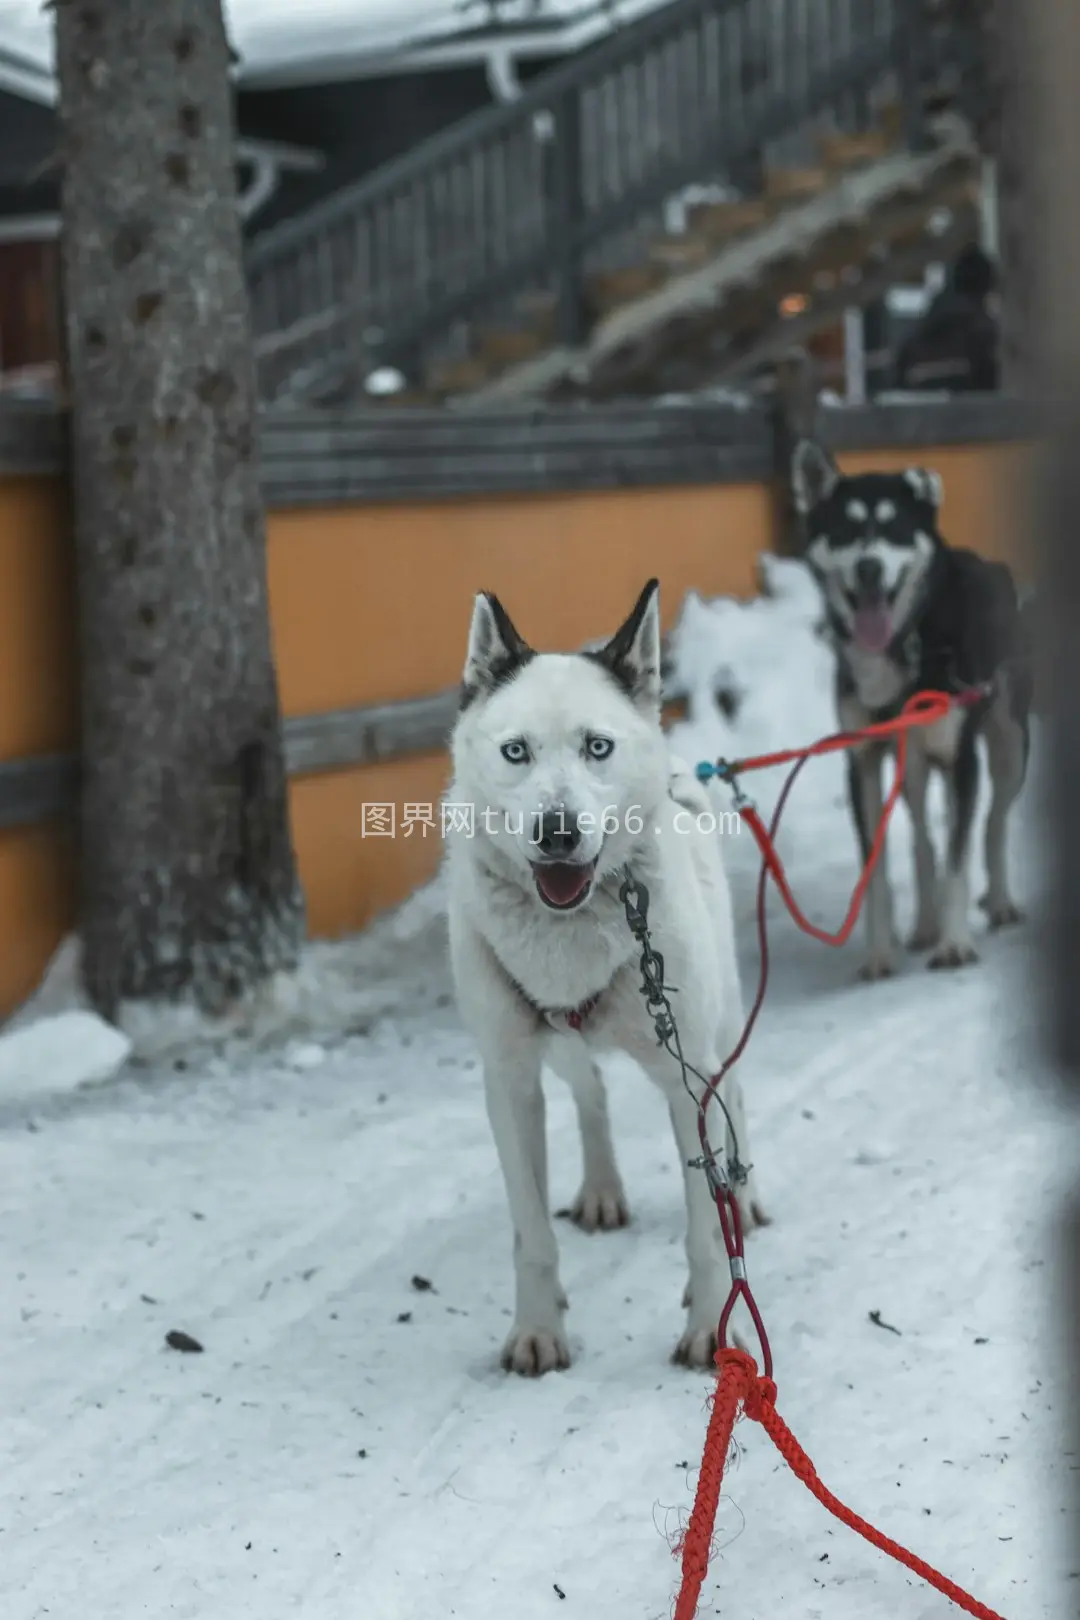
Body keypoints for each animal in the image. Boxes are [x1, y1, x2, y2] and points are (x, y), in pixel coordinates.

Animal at [443, 576, 764, 1373]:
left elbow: (706, 1231)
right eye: (516, 751)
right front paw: (537, 1329)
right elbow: (530, 1231)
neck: (569, 932)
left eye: (597, 747)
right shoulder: (510, 1081)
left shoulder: (688, 1081)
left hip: (716, 1026)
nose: (557, 832)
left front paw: (713, 1328)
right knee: (589, 1091)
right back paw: (601, 1188)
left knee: (736, 1096)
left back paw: (743, 1198)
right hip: (561, 1046)